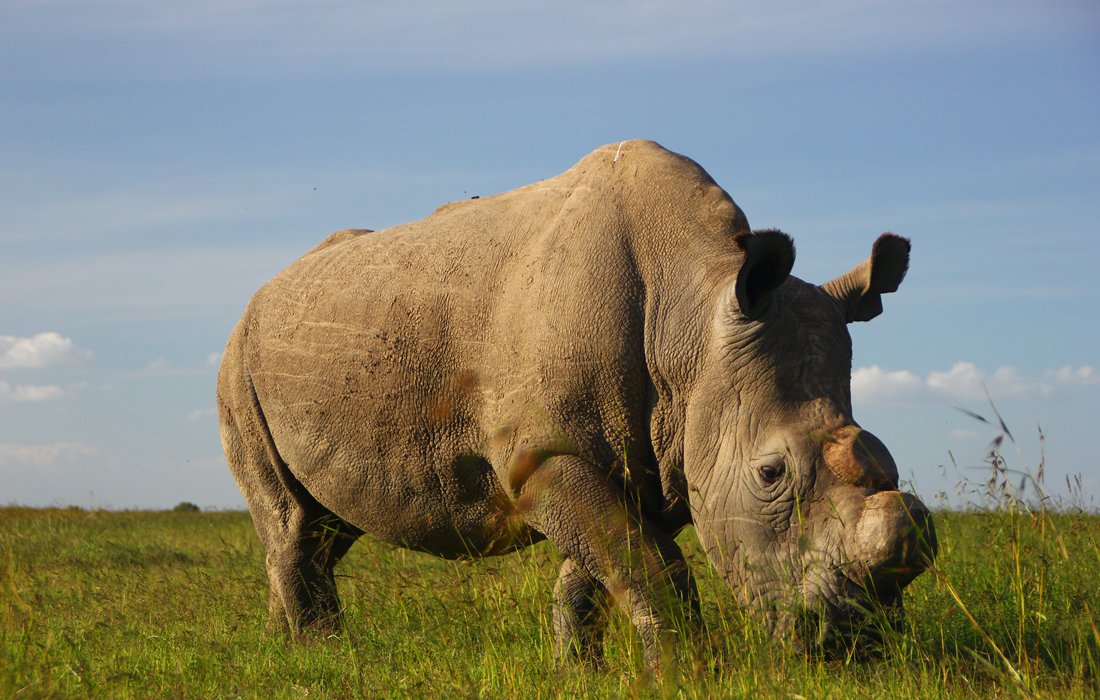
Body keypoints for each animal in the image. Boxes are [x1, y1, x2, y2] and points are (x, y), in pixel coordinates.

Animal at [217, 140, 936, 667]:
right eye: (770, 474)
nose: (858, 646)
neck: (692, 321)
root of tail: (258, 297)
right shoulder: (544, 454)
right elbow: (647, 565)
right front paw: (685, 674)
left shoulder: (658, 454)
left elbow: (596, 571)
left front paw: (578, 669)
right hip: (236, 366)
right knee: (291, 522)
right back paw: (318, 660)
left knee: (324, 525)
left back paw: (286, 650)